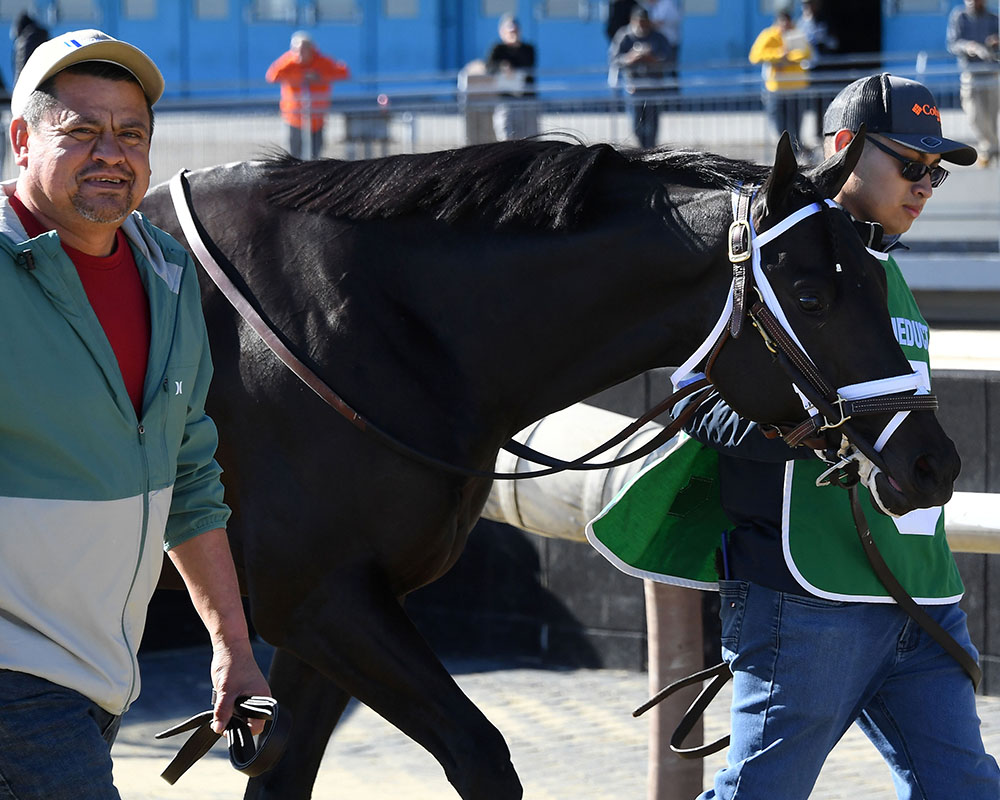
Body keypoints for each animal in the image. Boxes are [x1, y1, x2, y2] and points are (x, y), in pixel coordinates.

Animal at [141, 134, 960, 796]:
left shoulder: (330, 604)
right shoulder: (317, 596)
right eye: (812, 295)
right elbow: (479, 753)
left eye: (875, 277)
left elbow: (284, 775)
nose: (932, 463)